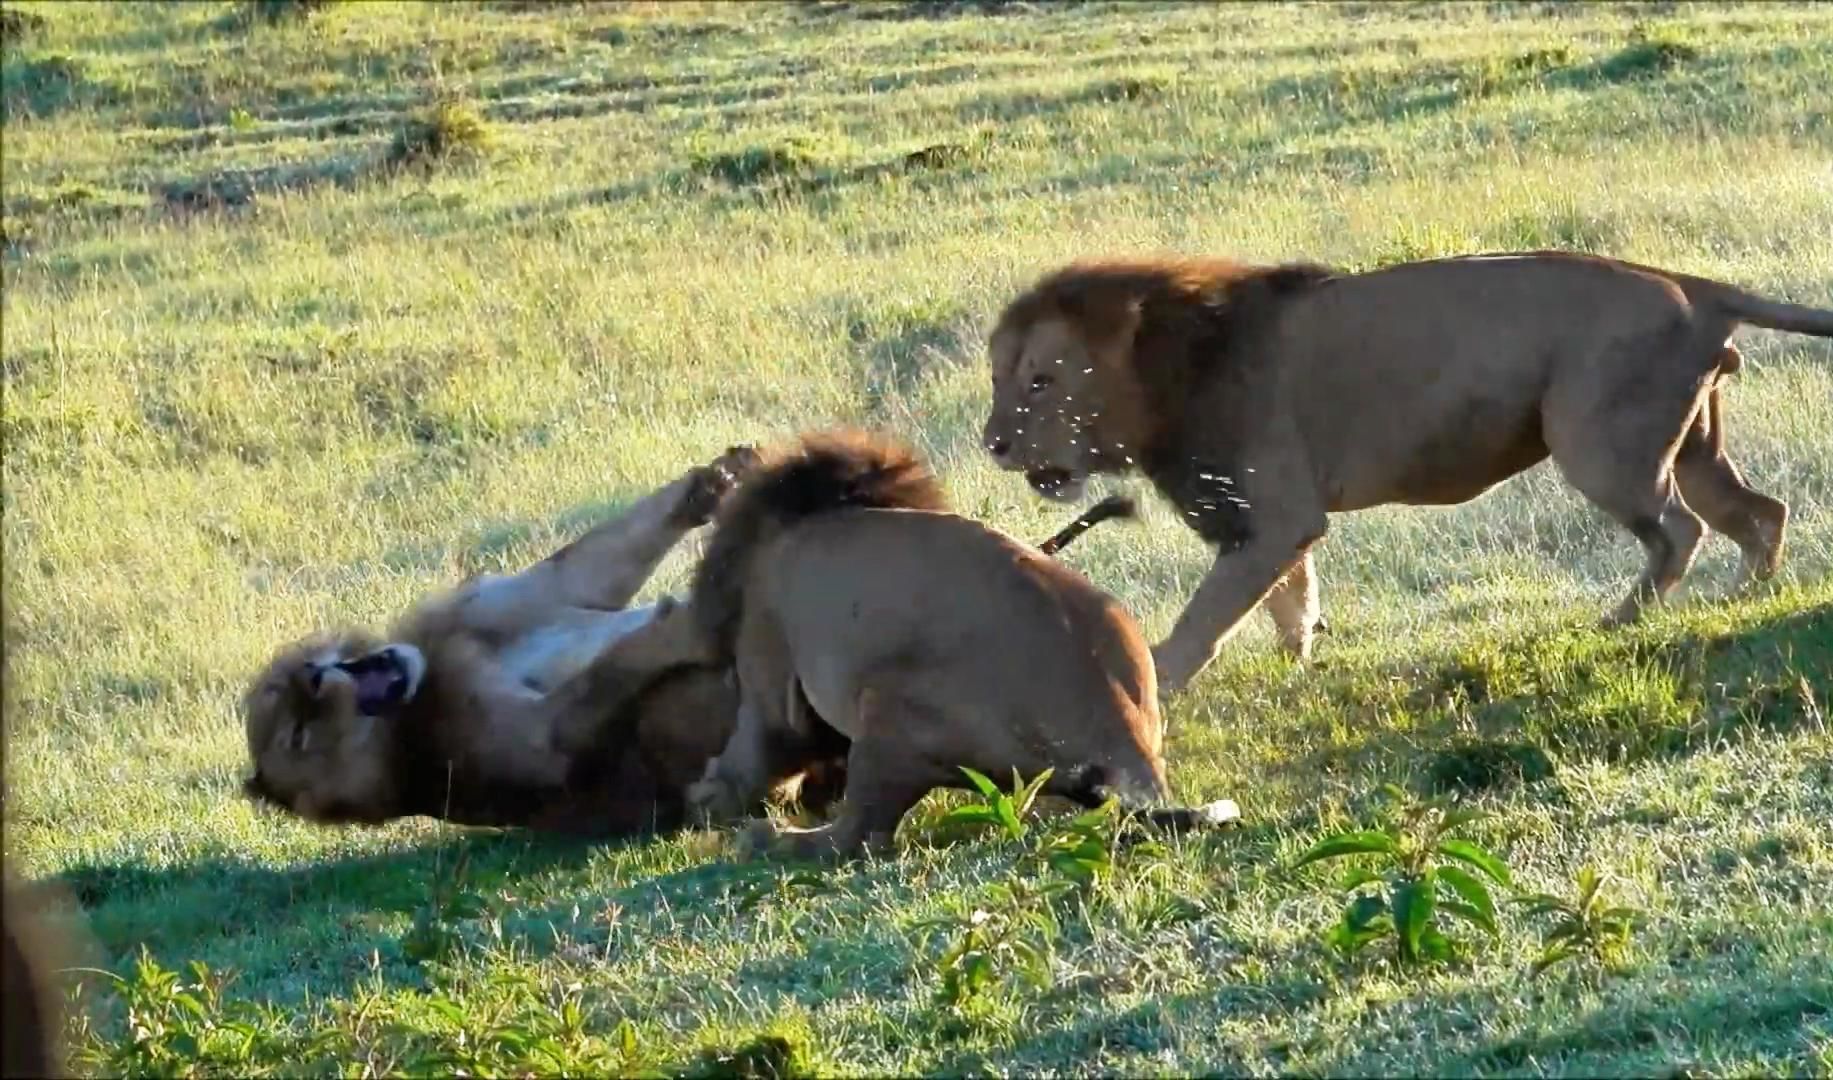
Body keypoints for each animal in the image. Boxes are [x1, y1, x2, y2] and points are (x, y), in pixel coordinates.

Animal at [681, 429, 1239, 858]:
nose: (698, 793)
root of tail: (1126, 741)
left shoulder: (770, 674)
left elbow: (762, 743)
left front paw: (720, 792)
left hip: (890, 713)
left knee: (860, 835)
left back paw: (770, 838)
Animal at [982, 251, 1833, 689]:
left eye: (1041, 381)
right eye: (997, 376)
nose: (991, 444)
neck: (1168, 375)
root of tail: (1694, 286)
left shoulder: (1274, 516)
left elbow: (1205, 619)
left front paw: (1155, 683)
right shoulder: (1261, 525)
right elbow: (1290, 601)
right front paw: (1296, 665)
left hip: (1599, 445)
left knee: (1676, 530)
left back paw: (1620, 619)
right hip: (1690, 446)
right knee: (1758, 513)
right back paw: (1741, 597)